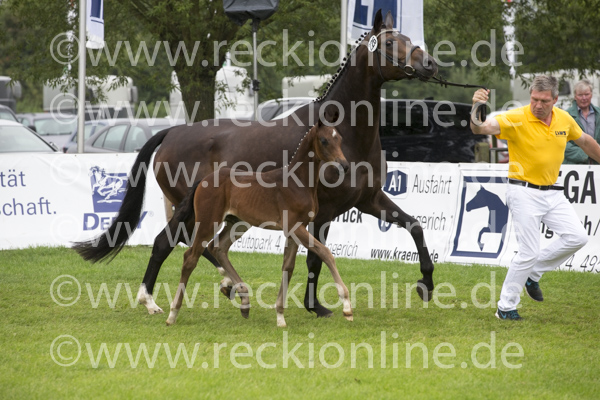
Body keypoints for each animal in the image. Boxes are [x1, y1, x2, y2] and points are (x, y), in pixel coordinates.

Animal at [165, 116, 352, 327]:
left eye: (339, 139)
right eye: (324, 140)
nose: (344, 165)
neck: (298, 183)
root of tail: (202, 180)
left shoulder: (295, 230)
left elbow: (288, 267)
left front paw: (280, 316)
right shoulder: (296, 227)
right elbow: (325, 252)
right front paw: (346, 306)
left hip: (237, 223)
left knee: (218, 247)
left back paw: (244, 300)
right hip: (208, 223)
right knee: (191, 257)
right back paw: (173, 313)